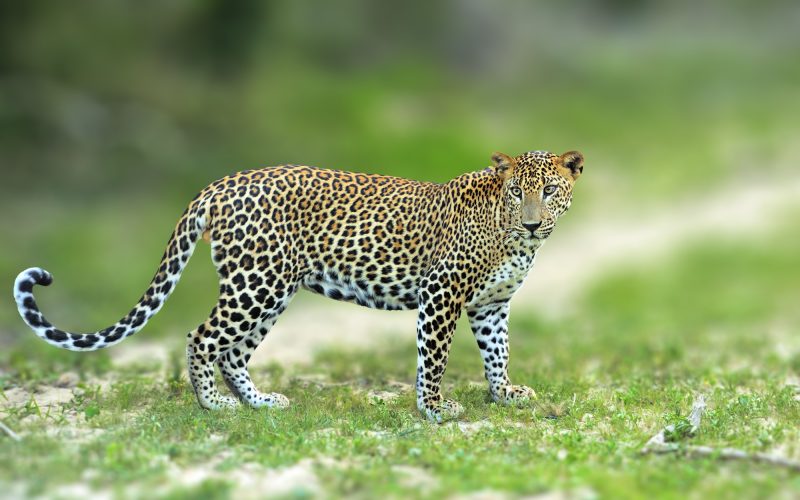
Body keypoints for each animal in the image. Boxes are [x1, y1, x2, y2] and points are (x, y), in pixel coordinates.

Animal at [14, 149, 584, 422]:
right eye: (517, 192)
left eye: (550, 191)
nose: (533, 223)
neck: (516, 239)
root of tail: (220, 184)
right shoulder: (440, 293)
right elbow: (435, 358)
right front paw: (435, 410)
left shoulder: (491, 305)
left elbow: (497, 352)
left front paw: (505, 394)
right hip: (256, 284)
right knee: (202, 337)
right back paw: (213, 406)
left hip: (272, 288)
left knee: (233, 352)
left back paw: (259, 404)